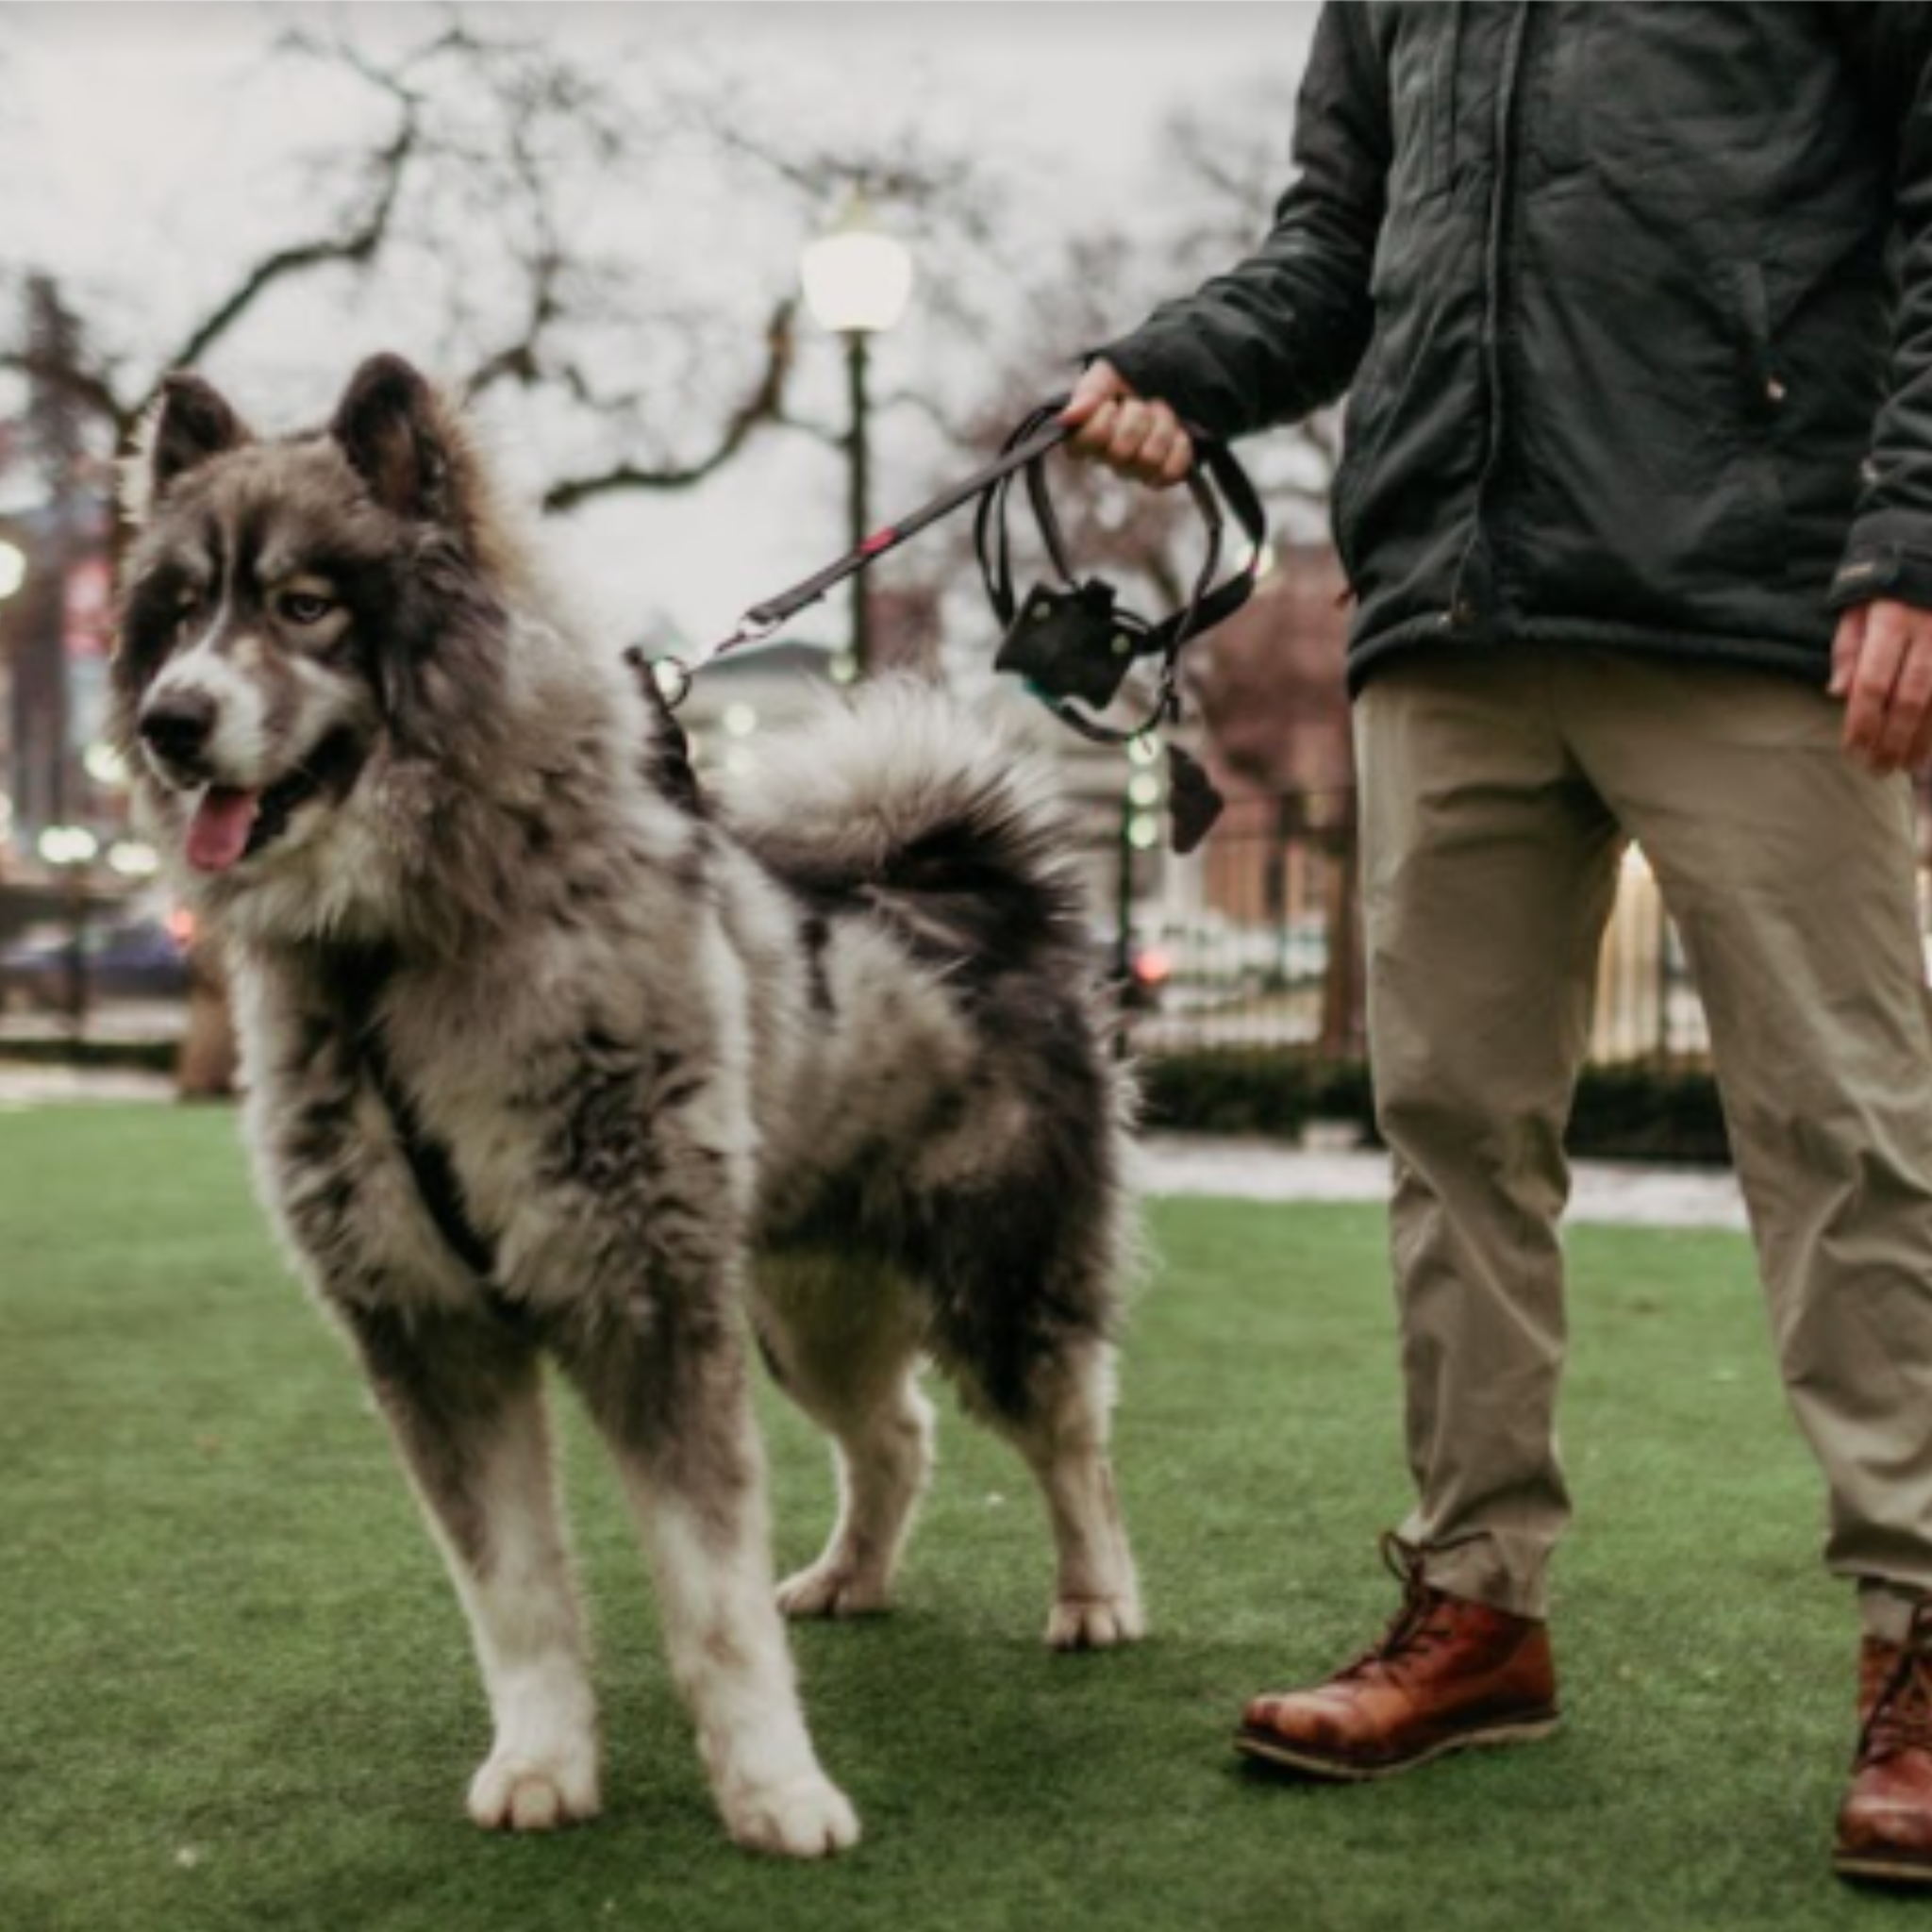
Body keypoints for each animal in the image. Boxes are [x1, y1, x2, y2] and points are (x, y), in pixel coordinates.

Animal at [112, 358, 1136, 1855]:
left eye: (305, 605)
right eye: (183, 612)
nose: (167, 721)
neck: (393, 957)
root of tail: (968, 884)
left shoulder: (644, 1302)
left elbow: (708, 1597)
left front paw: (774, 1791)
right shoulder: (431, 1333)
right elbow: (514, 1593)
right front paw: (544, 1761)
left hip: (994, 1282)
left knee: (1068, 1433)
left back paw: (1096, 1594)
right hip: (803, 1310)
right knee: (894, 1435)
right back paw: (852, 1575)